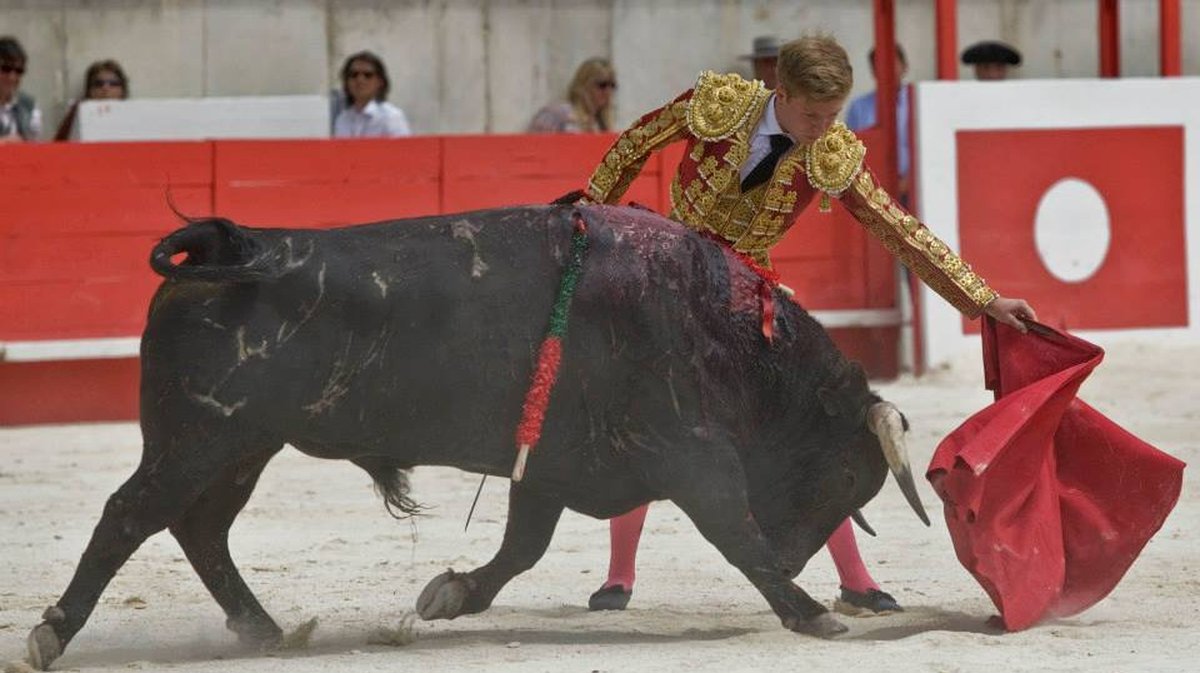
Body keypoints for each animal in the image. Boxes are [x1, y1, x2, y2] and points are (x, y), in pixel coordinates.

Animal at [28, 203, 926, 667]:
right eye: (851, 478)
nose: (803, 559)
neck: (720, 326)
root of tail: (233, 247)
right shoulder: (695, 458)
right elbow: (736, 532)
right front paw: (810, 612)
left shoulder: (552, 462)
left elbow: (522, 545)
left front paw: (449, 593)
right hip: (195, 437)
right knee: (130, 516)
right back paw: (52, 632)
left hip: (241, 444)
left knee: (200, 527)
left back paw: (265, 629)